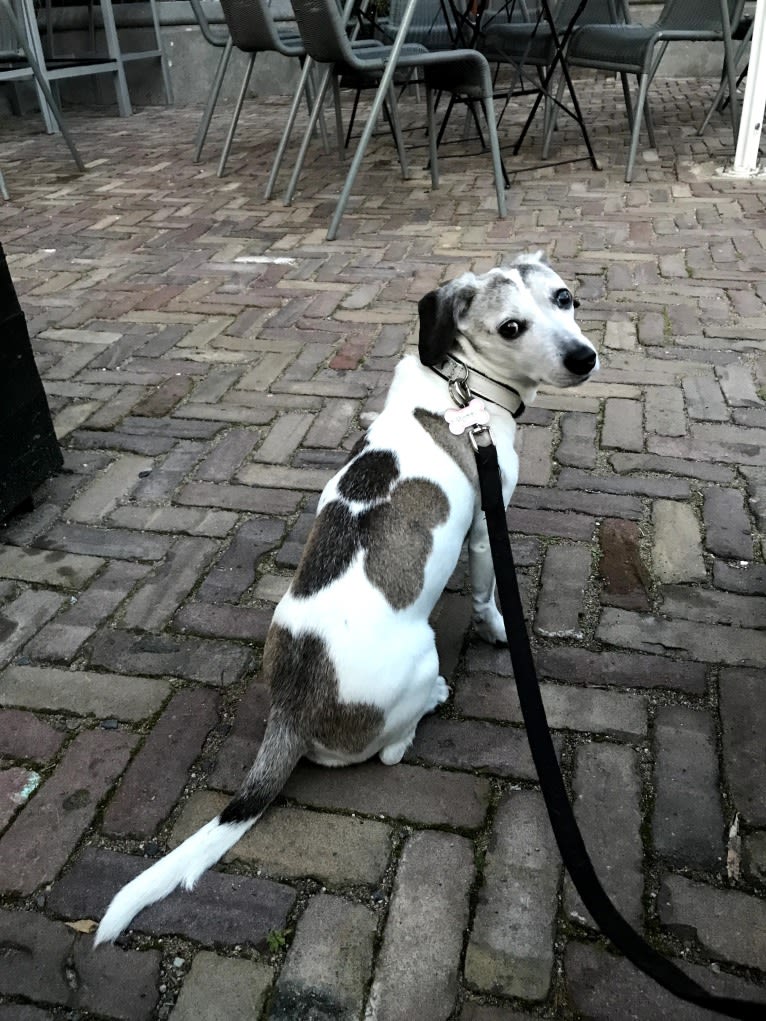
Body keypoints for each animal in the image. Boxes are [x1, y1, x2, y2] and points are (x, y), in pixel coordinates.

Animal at [94, 251, 600, 943]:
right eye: (512, 327)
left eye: (565, 298)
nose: (584, 358)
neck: (462, 385)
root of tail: (292, 710)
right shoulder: (484, 529)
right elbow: (487, 597)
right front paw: (498, 629)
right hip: (421, 660)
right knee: (389, 749)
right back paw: (430, 704)